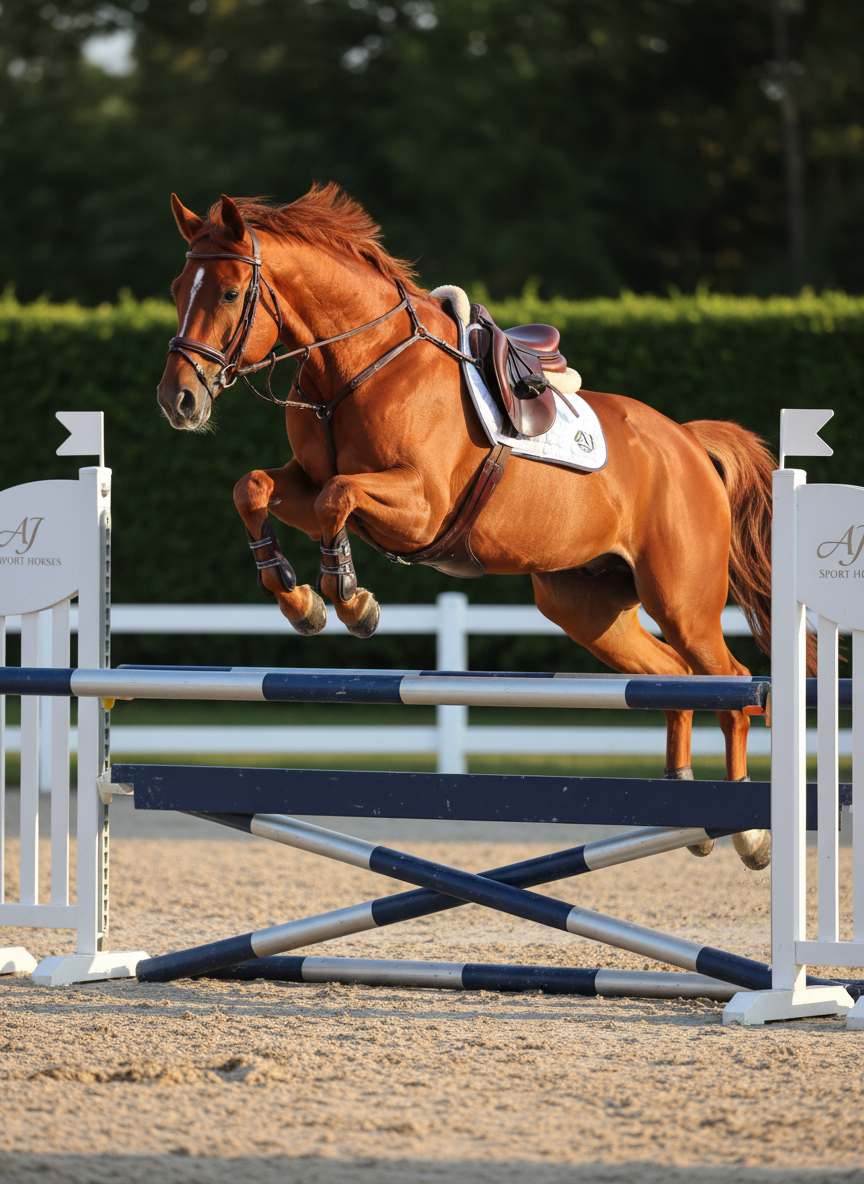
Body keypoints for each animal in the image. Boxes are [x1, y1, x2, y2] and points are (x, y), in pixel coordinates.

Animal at [157, 184, 783, 871]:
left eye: (228, 294)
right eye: (176, 288)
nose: (177, 400)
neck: (357, 365)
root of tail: (689, 444)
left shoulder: (420, 505)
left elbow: (335, 500)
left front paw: (349, 599)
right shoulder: (306, 480)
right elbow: (255, 488)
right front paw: (298, 598)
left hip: (681, 600)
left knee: (731, 684)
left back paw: (749, 831)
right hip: (586, 606)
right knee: (676, 679)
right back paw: (684, 803)